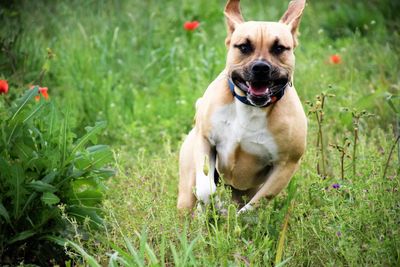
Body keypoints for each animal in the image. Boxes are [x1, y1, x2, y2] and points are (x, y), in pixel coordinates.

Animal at [177, 0, 306, 214]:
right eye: (244, 47)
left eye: (279, 48)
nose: (260, 67)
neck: (250, 107)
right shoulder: (205, 140)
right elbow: (206, 189)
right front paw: (216, 205)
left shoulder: (286, 165)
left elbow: (253, 206)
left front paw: (234, 216)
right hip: (187, 182)